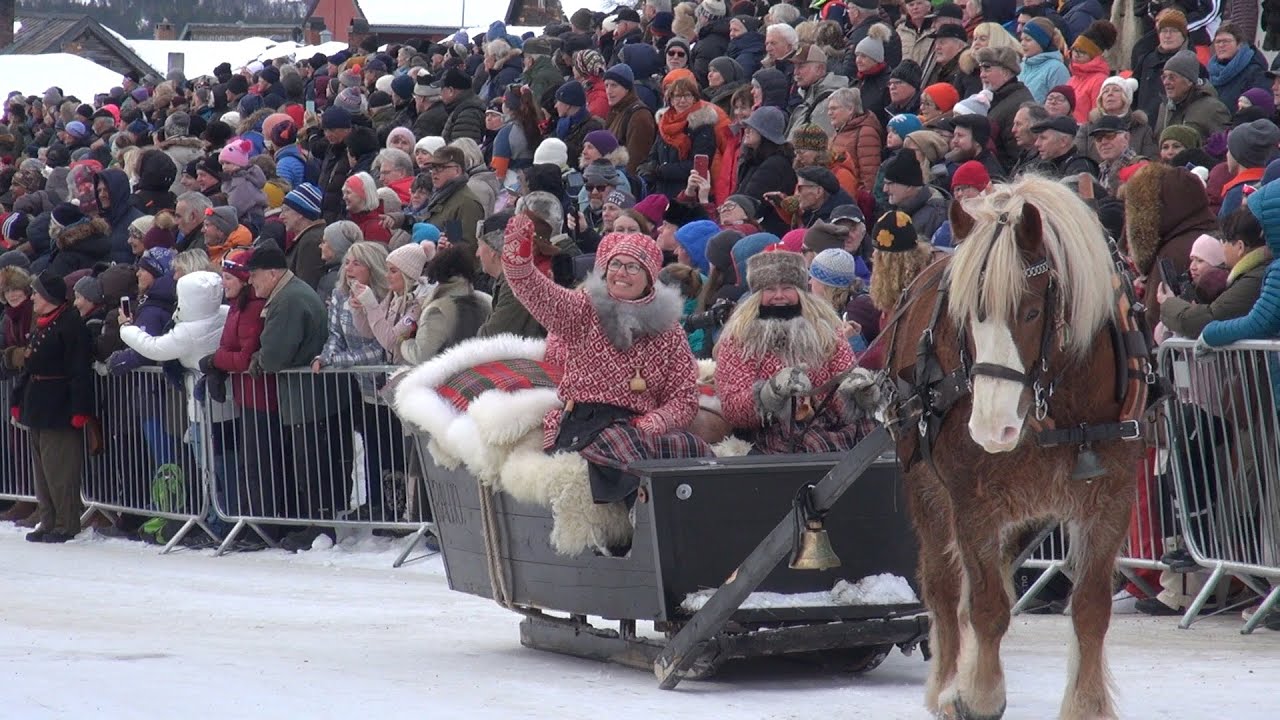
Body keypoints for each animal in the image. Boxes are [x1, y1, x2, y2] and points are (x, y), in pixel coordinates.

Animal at [882, 175, 1148, 720]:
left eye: (1031, 310)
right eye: (963, 317)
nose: (990, 426)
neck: (1059, 410)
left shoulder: (1111, 497)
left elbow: (1090, 607)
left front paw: (1087, 704)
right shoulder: (971, 500)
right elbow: (985, 605)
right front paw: (977, 692)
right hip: (926, 484)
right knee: (944, 585)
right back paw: (946, 682)